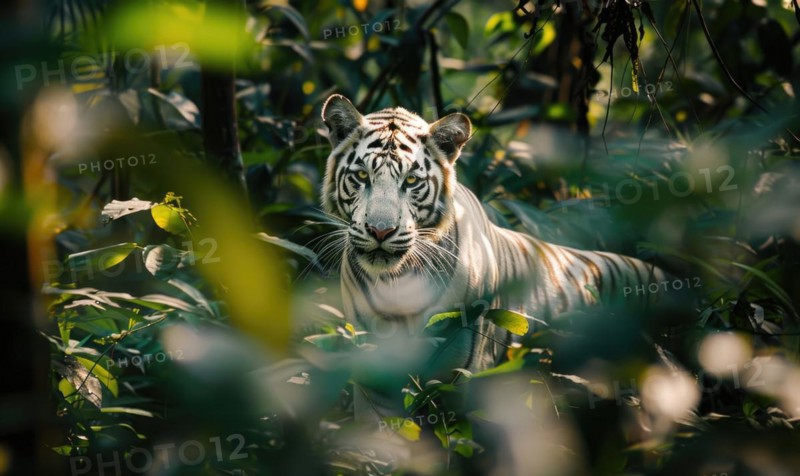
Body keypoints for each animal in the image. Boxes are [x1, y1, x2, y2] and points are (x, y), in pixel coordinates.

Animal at [319, 94, 669, 422]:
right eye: (362, 176)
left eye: (411, 181)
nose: (380, 231)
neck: (396, 283)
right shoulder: (373, 379)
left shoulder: (465, 376)